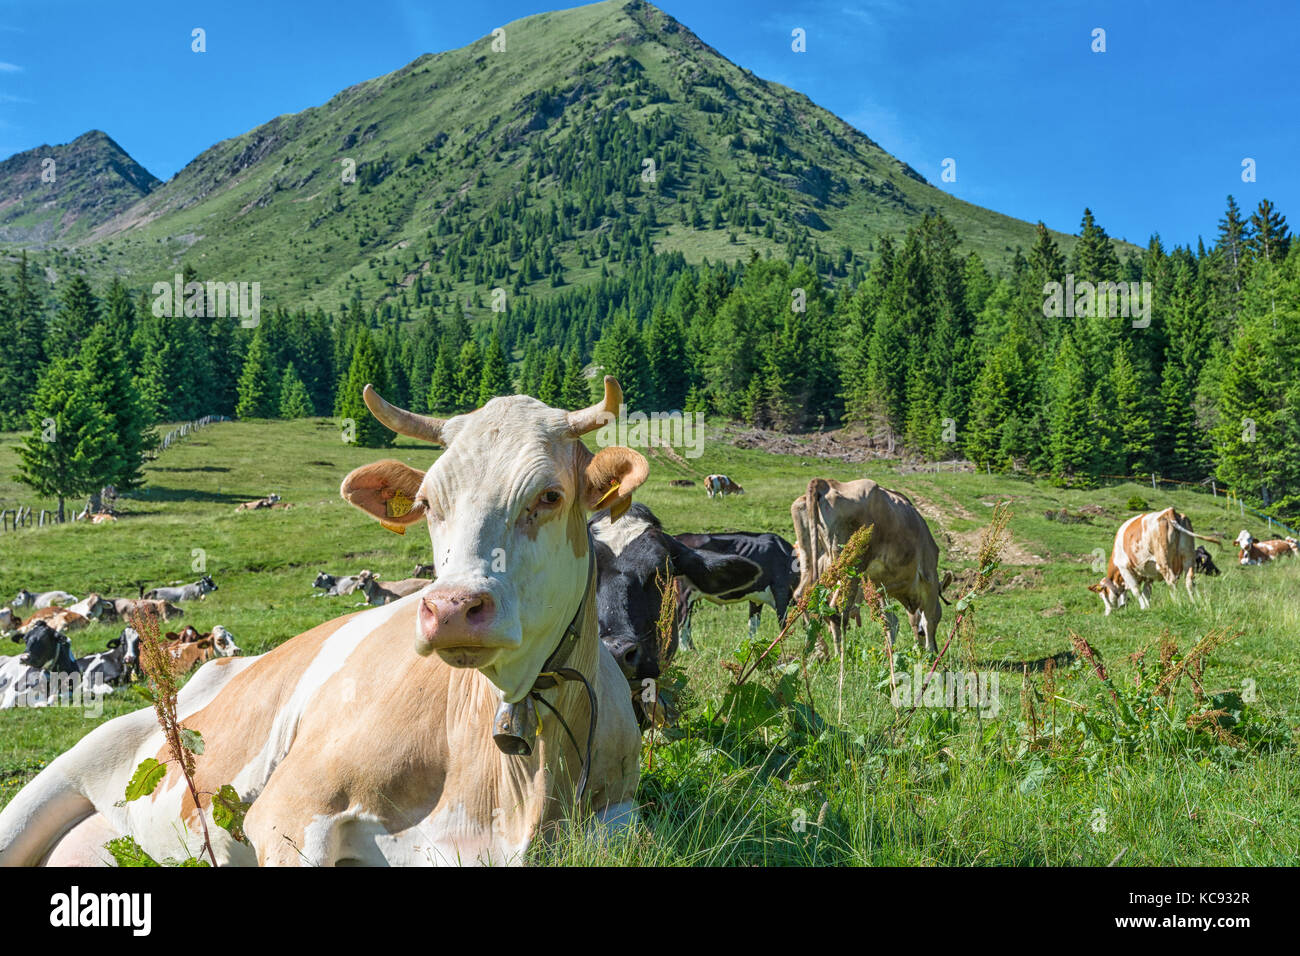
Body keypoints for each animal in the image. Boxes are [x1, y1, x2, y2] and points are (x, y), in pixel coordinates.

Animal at [0, 374, 647, 868]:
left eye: (549, 496)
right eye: (428, 504)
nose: (450, 609)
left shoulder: (621, 817)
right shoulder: (289, 809)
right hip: (56, 779)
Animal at [790, 478, 946, 658]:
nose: (936, 648)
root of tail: (826, 483)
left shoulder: (878, 584)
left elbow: (891, 620)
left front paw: (892, 653)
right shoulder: (929, 576)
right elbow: (929, 618)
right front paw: (931, 654)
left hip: (810, 556)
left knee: (802, 595)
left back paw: (821, 650)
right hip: (850, 567)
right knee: (837, 611)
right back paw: (841, 657)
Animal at [1081, 504, 1211, 616]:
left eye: (1102, 595)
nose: (1106, 613)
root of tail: (1169, 512)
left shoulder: (1125, 568)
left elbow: (1136, 590)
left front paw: (1143, 607)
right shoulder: (1148, 573)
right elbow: (1146, 591)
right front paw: (1148, 607)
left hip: (1163, 560)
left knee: (1171, 580)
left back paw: (1177, 603)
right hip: (1188, 557)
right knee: (1189, 580)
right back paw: (1193, 603)